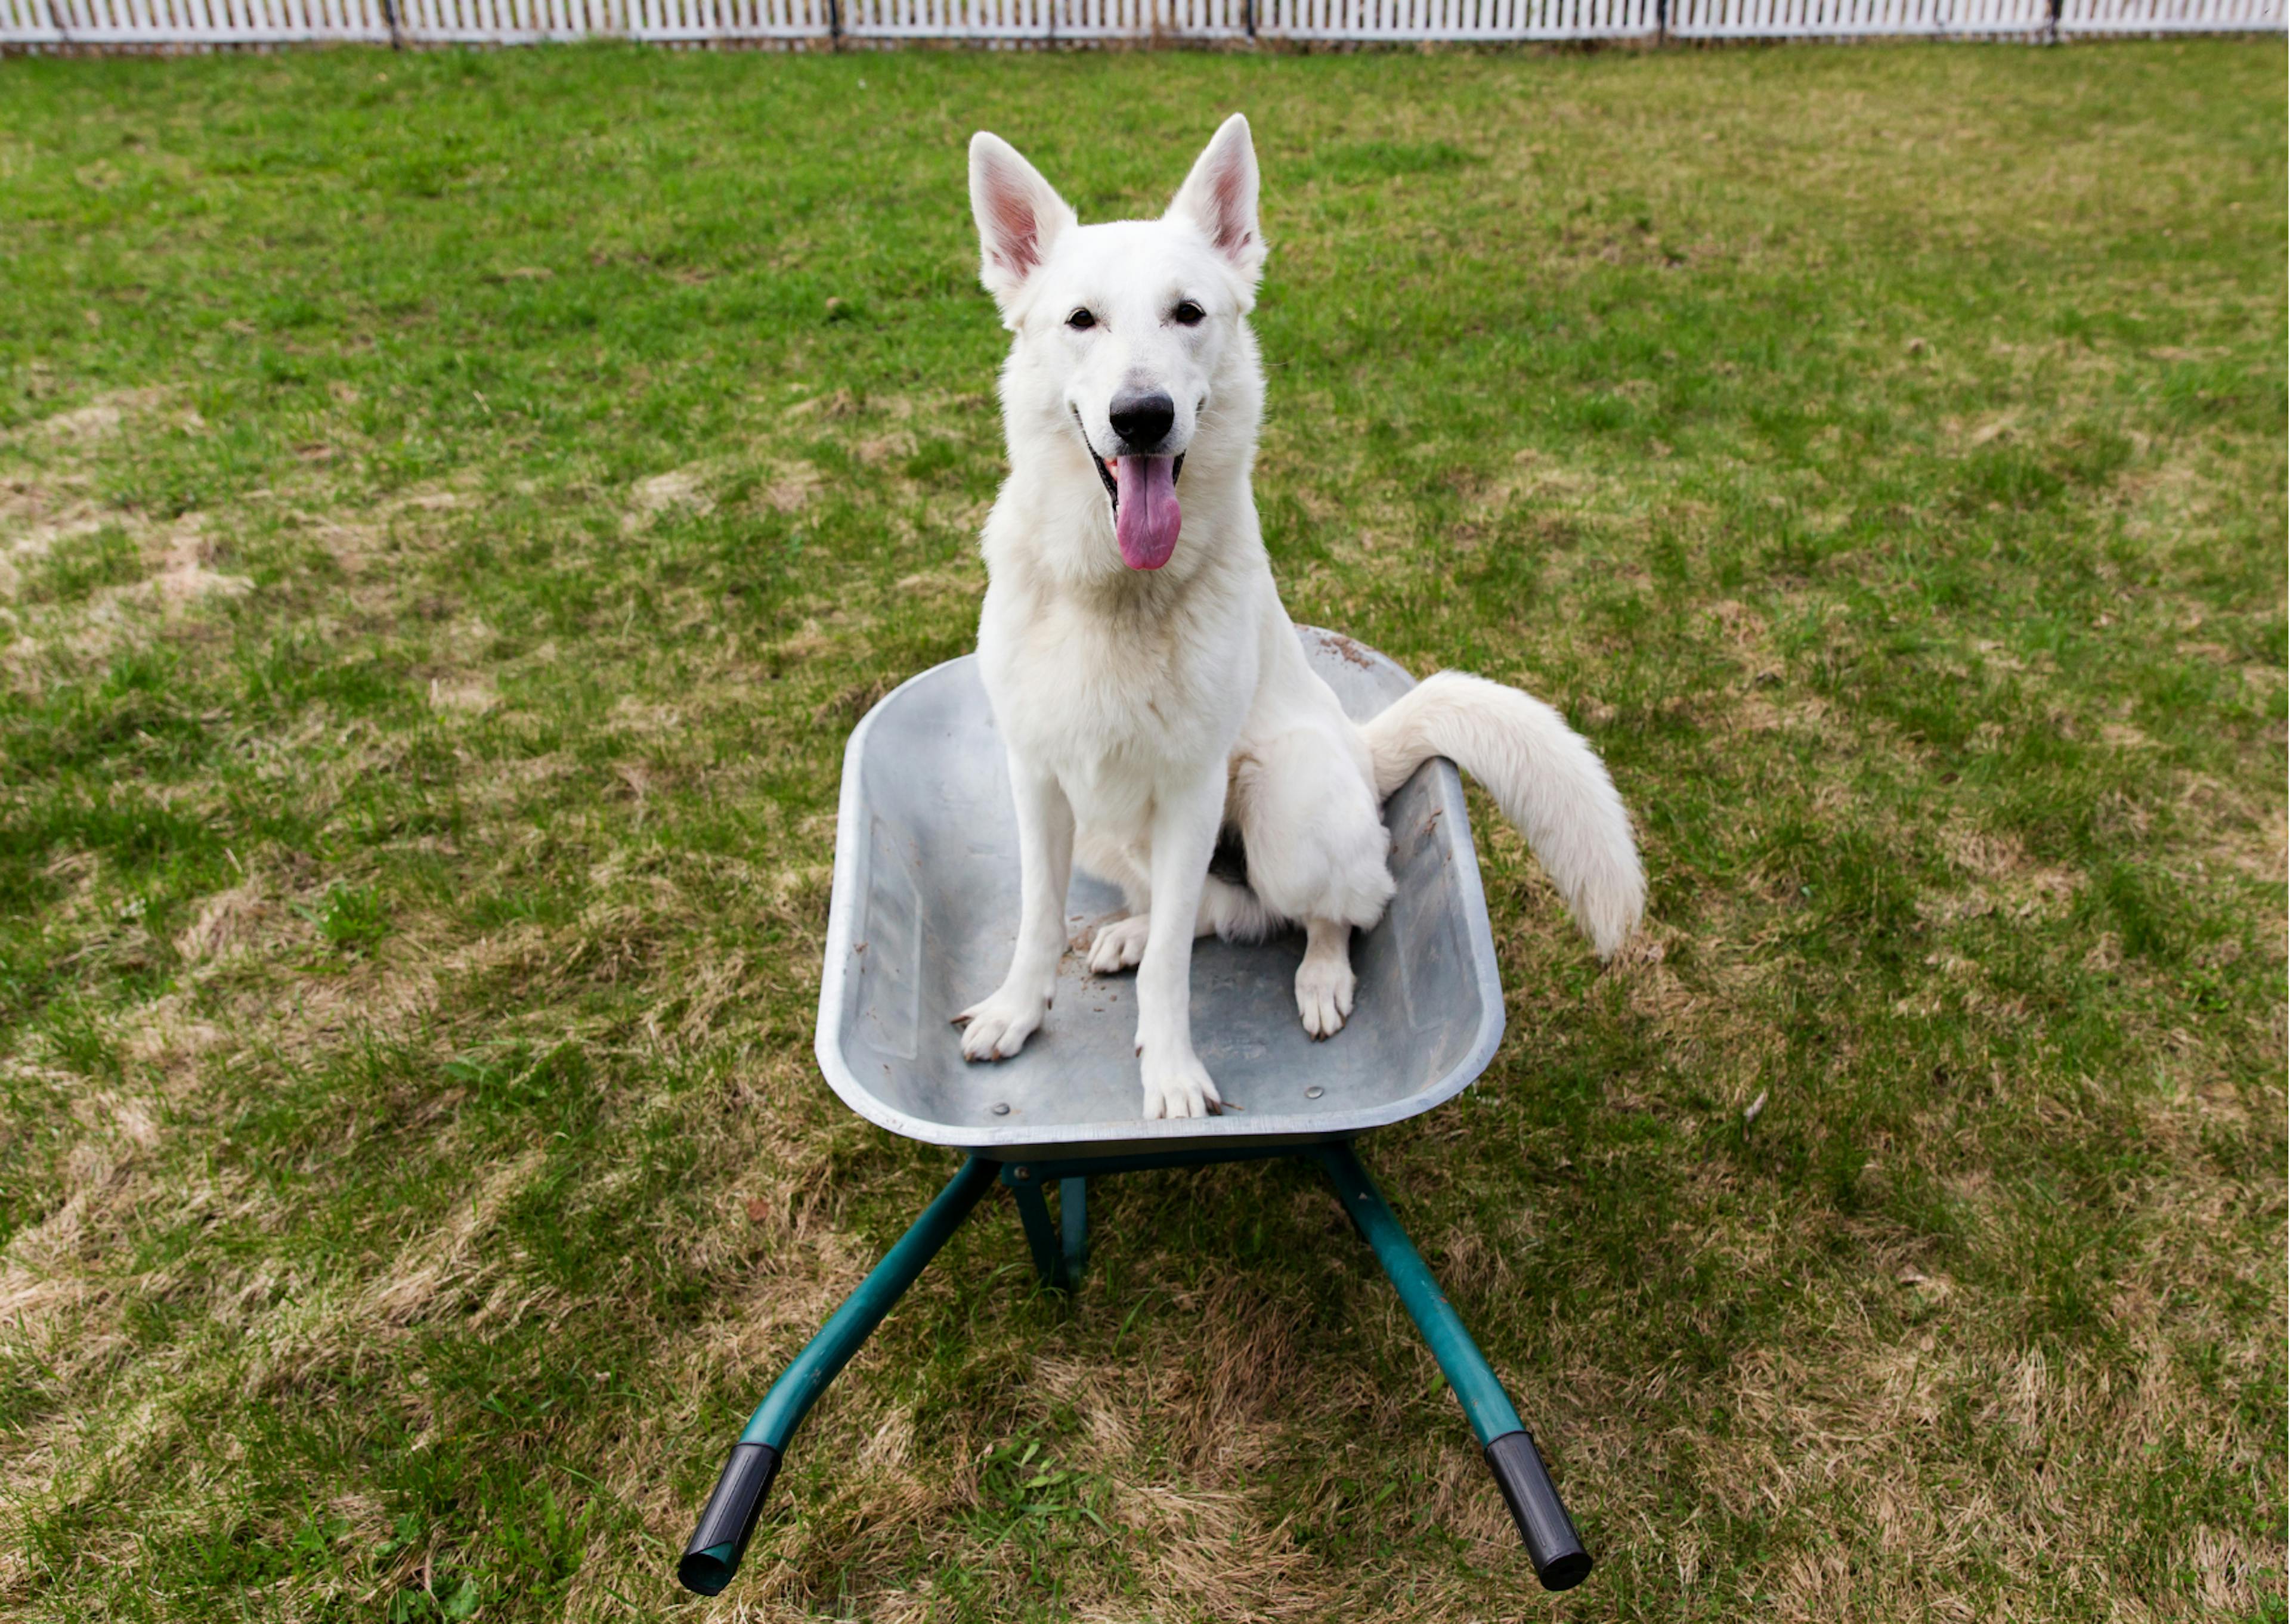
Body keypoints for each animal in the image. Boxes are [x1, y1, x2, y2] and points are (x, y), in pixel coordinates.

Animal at [948, 114, 1648, 1113]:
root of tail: (1362, 744)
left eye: (1188, 314)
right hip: (1110, 833)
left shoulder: (1194, 790)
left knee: (1337, 907)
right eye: (1081, 321)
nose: (1141, 416)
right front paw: (1019, 1008)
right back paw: (1128, 930)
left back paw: (1320, 974)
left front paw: (1171, 1071)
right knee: (1214, 910)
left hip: (1284, 800)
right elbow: (1040, 919)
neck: (1115, 594)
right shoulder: (1038, 779)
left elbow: (1173, 970)